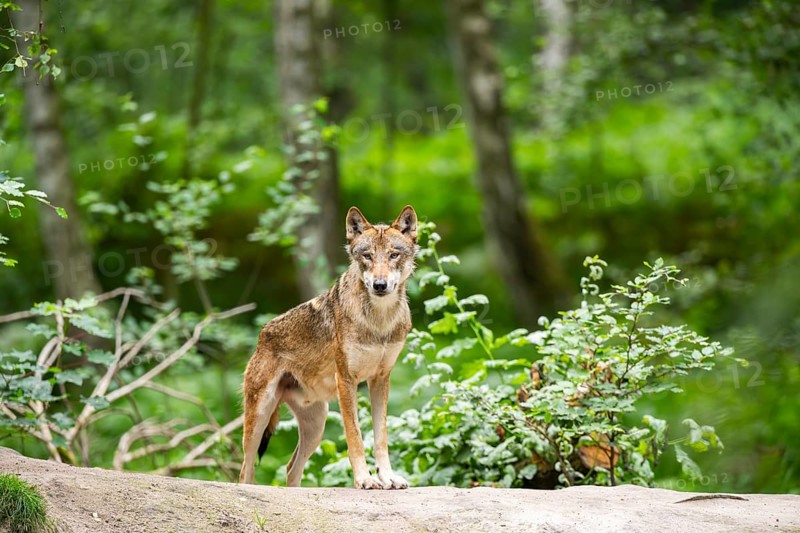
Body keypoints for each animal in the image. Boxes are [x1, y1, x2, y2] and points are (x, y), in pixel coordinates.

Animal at [238, 205, 417, 489]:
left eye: (393, 254)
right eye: (367, 255)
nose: (379, 285)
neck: (379, 322)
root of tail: (262, 335)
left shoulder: (381, 379)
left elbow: (381, 437)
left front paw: (388, 477)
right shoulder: (346, 380)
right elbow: (355, 437)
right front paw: (365, 480)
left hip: (316, 426)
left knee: (290, 468)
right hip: (259, 418)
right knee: (246, 469)